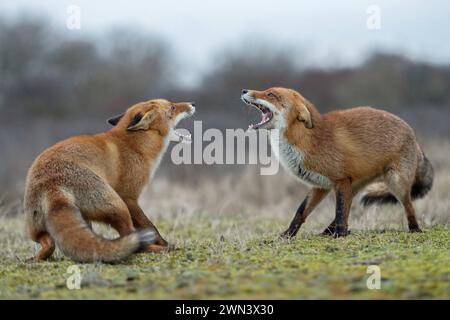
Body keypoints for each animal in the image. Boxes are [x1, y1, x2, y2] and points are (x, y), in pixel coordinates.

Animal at [23, 99, 194, 262]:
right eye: (172, 107)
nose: (192, 104)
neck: (136, 145)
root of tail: (52, 184)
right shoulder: (129, 197)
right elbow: (151, 226)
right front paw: (165, 243)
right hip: (117, 205)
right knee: (131, 236)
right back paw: (158, 248)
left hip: (39, 226)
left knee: (48, 243)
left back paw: (37, 258)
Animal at [241, 87, 434, 238]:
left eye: (270, 94)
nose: (244, 90)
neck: (307, 141)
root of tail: (413, 134)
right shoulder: (321, 185)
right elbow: (301, 212)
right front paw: (288, 235)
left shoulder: (340, 180)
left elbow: (340, 211)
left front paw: (340, 235)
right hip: (354, 185)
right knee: (348, 206)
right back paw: (327, 231)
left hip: (395, 182)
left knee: (409, 206)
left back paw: (415, 229)